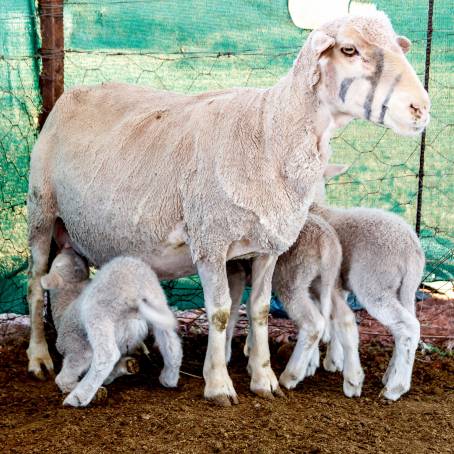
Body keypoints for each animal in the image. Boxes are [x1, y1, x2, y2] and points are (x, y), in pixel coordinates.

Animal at [39, 248, 181, 408]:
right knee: (172, 344)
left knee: (106, 356)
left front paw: (86, 391)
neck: (65, 306)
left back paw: (78, 398)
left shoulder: (77, 347)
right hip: (158, 304)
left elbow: (64, 378)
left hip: (99, 313)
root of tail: (136, 291)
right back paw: (169, 378)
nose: (68, 248)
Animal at [310, 165, 424, 400]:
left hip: (375, 285)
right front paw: (335, 360)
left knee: (409, 327)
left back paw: (395, 388)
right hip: (404, 290)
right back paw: (390, 375)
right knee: (404, 329)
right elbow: (336, 319)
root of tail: (412, 252)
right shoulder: (340, 286)